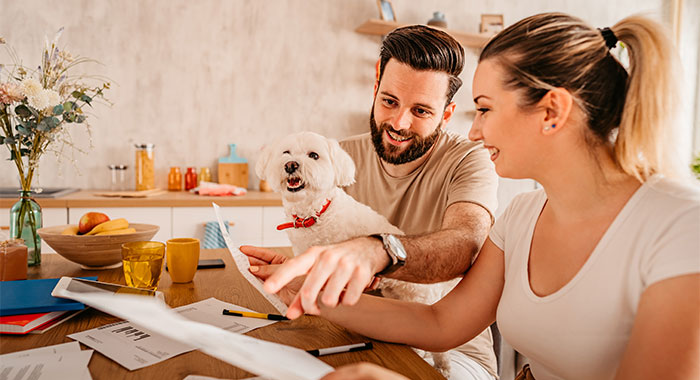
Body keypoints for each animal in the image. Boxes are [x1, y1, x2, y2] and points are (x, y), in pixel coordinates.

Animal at [258, 132, 454, 376]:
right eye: (286, 153)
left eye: (314, 155)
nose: (291, 165)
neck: (315, 215)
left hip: (419, 300)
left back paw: (442, 367)